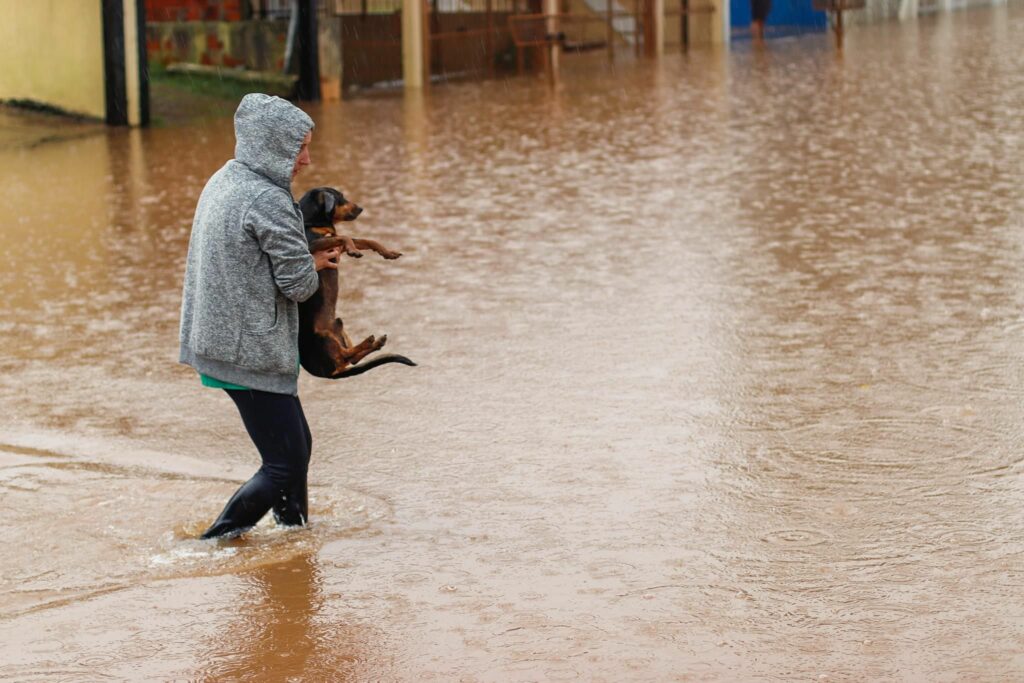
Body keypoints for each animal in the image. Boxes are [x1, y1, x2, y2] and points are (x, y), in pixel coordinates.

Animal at [296, 187, 415, 378]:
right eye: (341, 198)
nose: (361, 208)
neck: (310, 222)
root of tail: (328, 374)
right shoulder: (313, 245)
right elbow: (345, 236)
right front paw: (353, 249)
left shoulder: (337, 248)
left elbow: (364, 240)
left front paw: (387, 252)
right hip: (323, 336)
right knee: (347, 355)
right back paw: (369, 341)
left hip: (339, 325)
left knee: (352, 359)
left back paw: (375, 343)